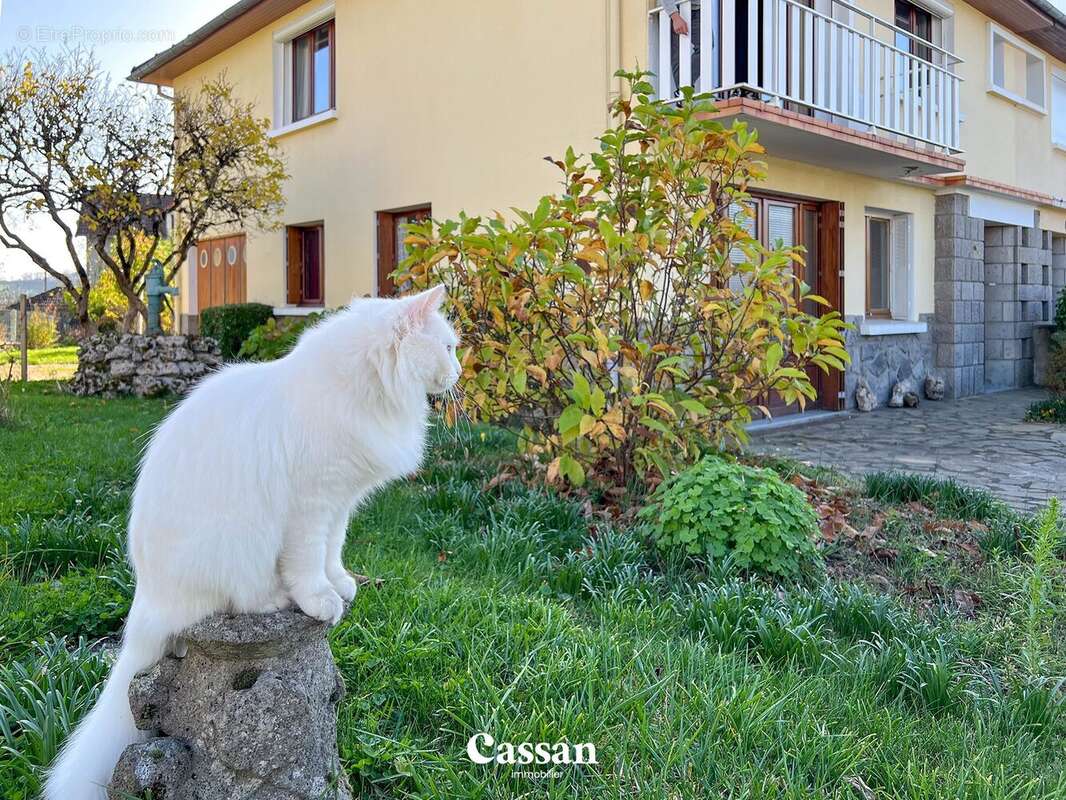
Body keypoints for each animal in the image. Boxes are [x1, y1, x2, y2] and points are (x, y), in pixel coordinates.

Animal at [44, 285, 458, 800]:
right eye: (449, 348)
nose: (459, 372)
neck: (365, 390)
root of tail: (148, 596)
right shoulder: (313, 503)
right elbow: (309, 562)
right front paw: (321, 600)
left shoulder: (339, 503)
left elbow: (333, 551)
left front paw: (341, 585)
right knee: (247, 598)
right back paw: (278, 599)